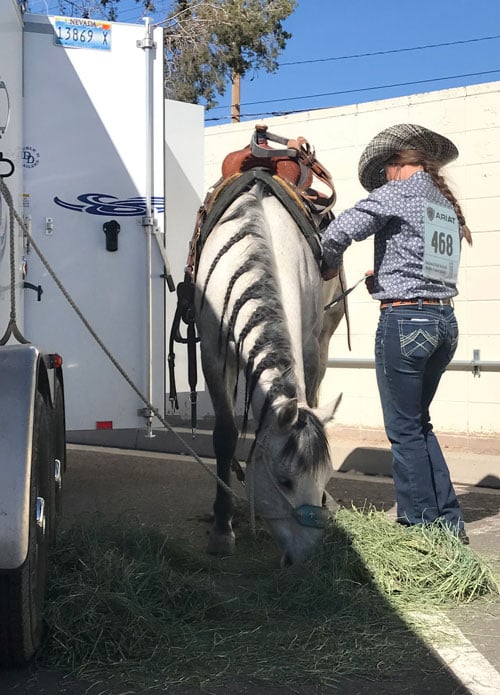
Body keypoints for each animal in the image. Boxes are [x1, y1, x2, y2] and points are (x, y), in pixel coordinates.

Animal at [195, 171, 344, 568]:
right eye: (285, 480)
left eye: (324, 477)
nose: (306, 557)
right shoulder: (212, 351)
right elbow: (225, 435)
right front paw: (221, 530)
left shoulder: (308, 344)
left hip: (328, 330)